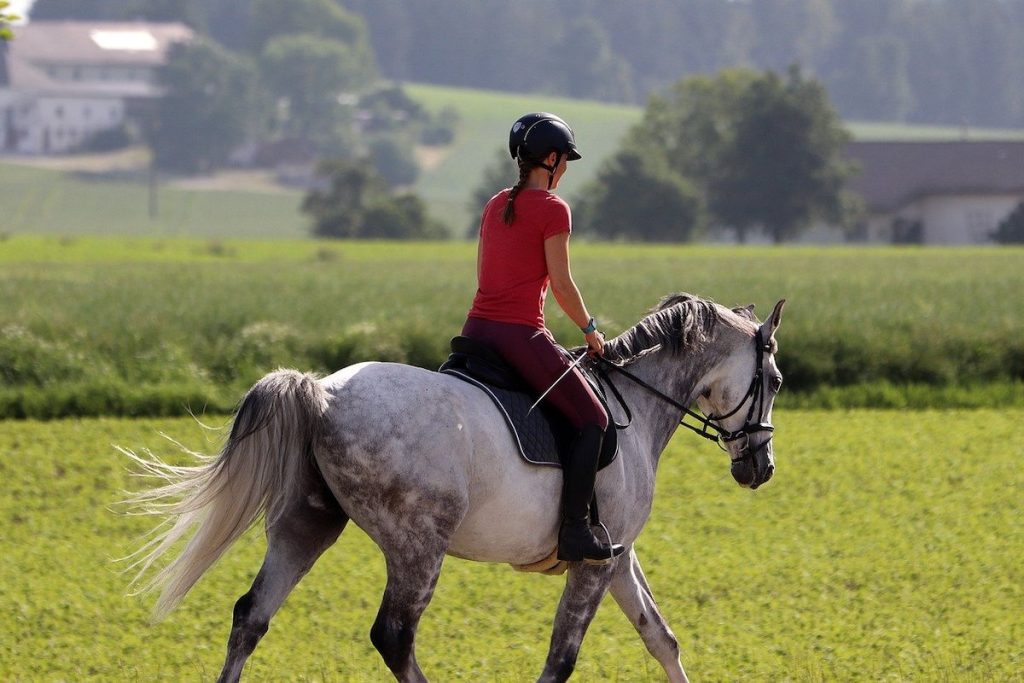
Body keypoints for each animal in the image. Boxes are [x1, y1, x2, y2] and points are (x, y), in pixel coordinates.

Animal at [124, 293, 786, 683]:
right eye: (775, 379)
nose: (760, 467)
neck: (637, 403)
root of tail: (323, 393)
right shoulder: (594, 564)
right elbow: (561, 659)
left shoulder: (616, 557)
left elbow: (660, 637)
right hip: (418, 546)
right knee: (394, 637)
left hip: (305, 526)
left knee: (250, 617)